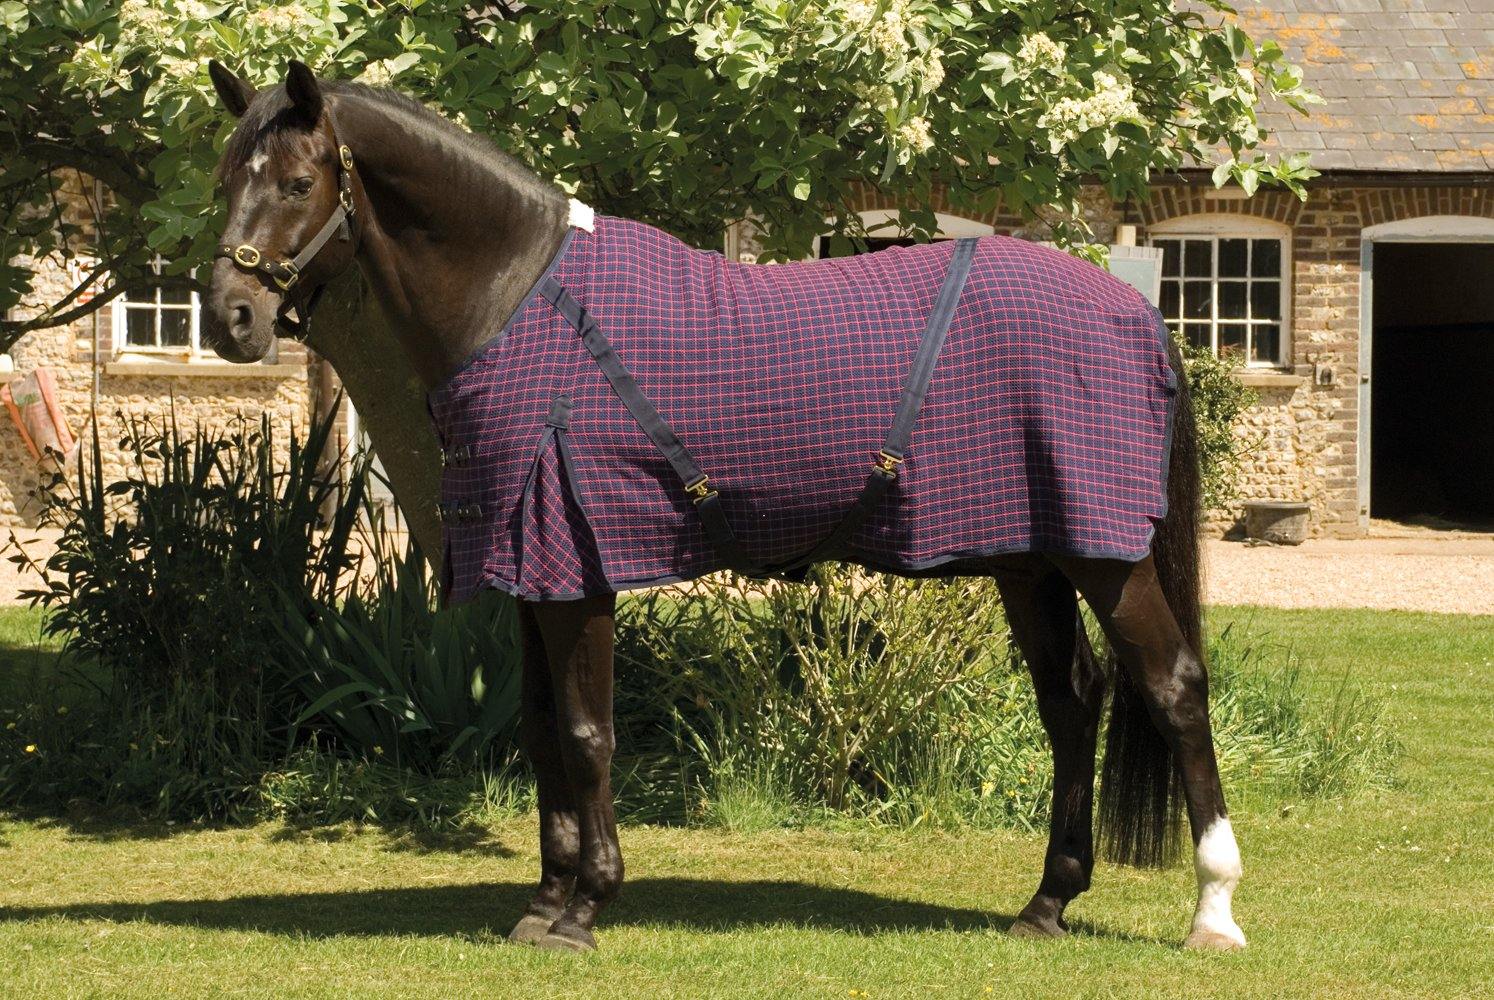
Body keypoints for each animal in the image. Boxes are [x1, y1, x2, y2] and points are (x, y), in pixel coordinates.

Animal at [202, 60, 1245, 954]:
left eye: (296, 182)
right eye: (223, 182)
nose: (230, 319)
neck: (519, 302)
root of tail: (1138, 312)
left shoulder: (576, 564)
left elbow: (586, 735)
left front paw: (586, 908)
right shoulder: (531, 574)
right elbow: (540, 734)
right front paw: (543, 903)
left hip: (1107, 555)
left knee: (1175, 689)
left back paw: (1214, 912)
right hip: (1030, 559)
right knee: (1072, 704)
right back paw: (1047, 903)